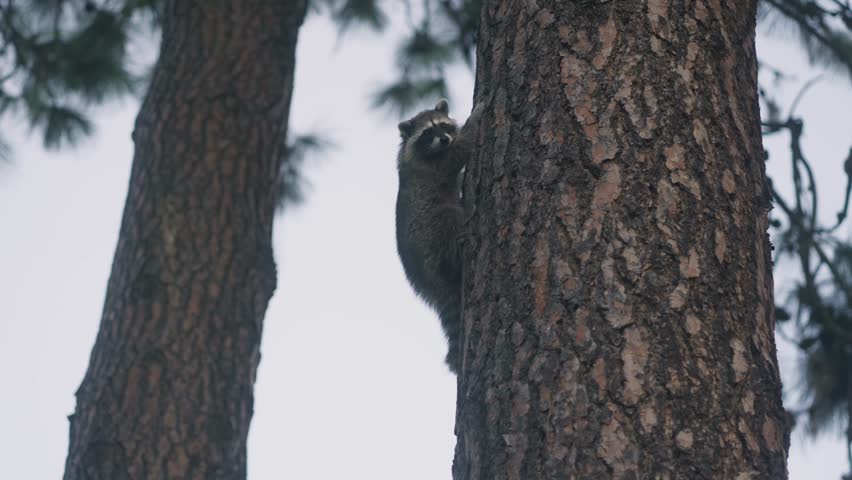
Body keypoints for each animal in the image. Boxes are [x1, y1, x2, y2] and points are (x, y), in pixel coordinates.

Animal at [395, 98, 484, 374]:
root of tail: (428, 282)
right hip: (432, 232)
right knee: (449, 219)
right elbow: (458, 153)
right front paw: (474, 120)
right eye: (428, 132)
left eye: (443, 125)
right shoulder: (433, 167)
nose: (445, 139)